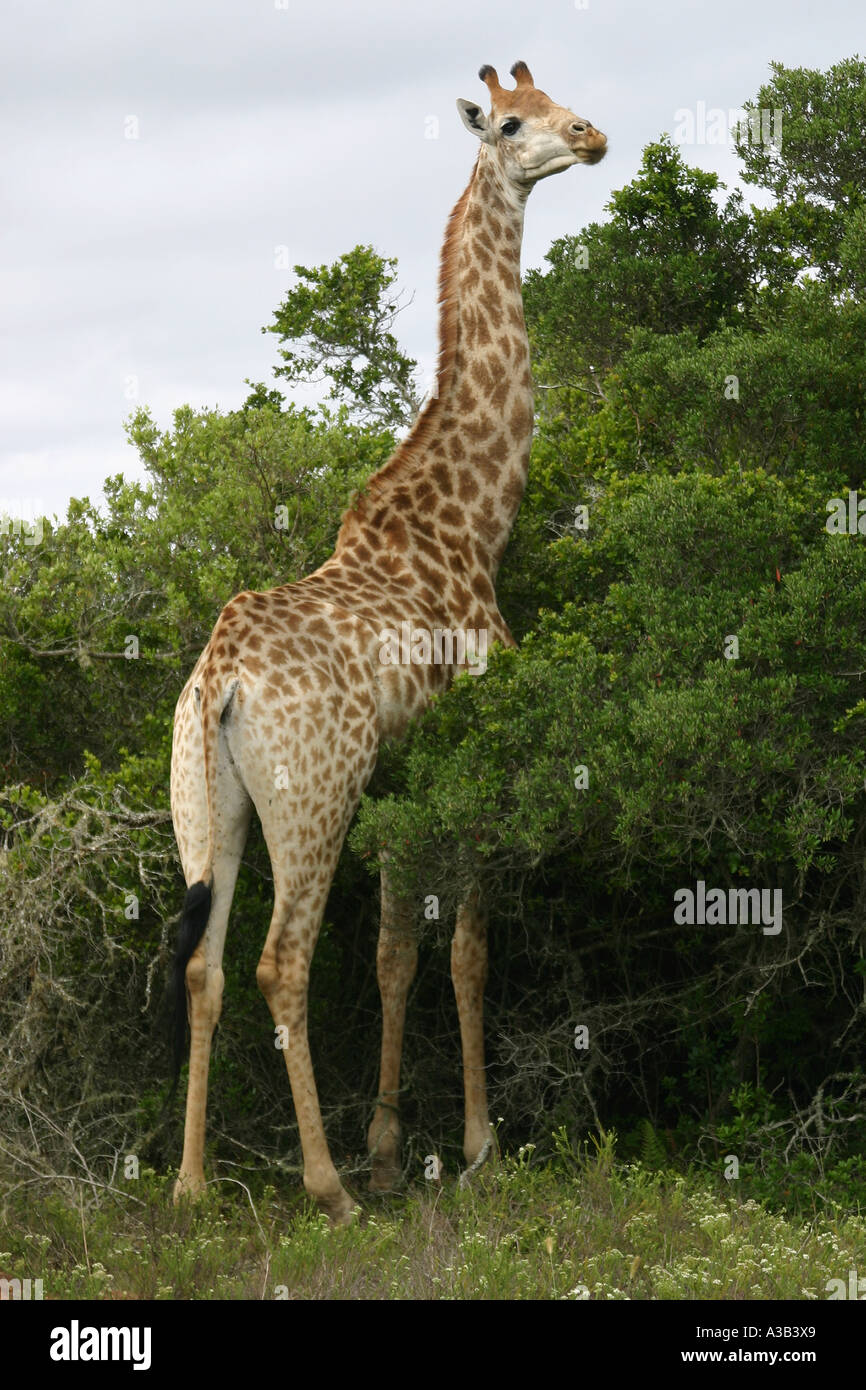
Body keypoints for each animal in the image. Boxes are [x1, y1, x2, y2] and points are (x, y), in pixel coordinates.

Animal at [167, 59, 603, 1223]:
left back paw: (189, 1186)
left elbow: (396, 952)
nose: (591, 137)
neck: (474, 521)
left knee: (203, 962)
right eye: (513, 123)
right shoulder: (468, 743)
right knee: (278, 962)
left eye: (560, 99)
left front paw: (392, 1148)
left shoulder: (403, 773)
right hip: (314, 794)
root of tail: (219, 678)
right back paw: (324, 1191)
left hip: (206, 802)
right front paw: (474, 1144)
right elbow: (465, 949)